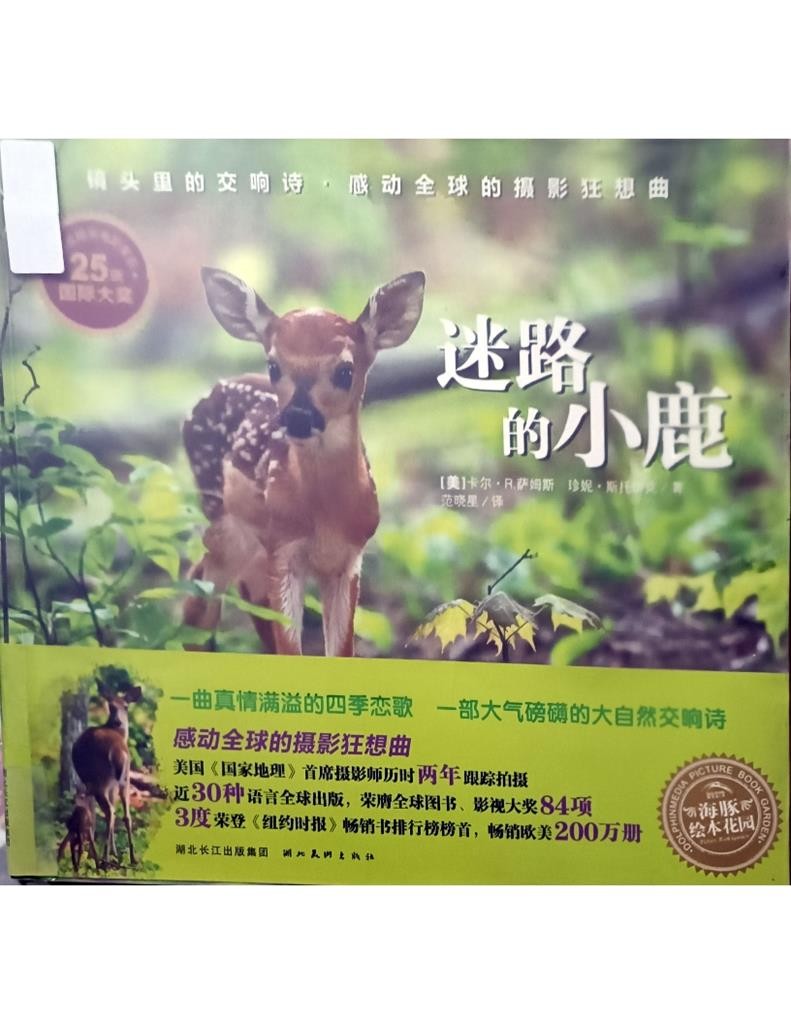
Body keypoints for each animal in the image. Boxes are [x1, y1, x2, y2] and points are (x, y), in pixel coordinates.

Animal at [71, 683, 142, 868]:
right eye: (111, 707)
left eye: (126, 706)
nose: (118, 721)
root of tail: (117, 751)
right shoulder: (114, 784)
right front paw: (116, 853)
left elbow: (95, 814)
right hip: (125, 778)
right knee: (125, 815)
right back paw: (132, 858)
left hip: (99, 780)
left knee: (109, 812)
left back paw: (104, 859)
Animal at [182, 267, 426, 656]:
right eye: (273, 365)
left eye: (345, 370)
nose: (297, 417)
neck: (324, 518)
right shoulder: (283, 551)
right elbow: (290, 647)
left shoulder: (349, 560)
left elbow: (340, 651)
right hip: (222, 519)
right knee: (201, 595)